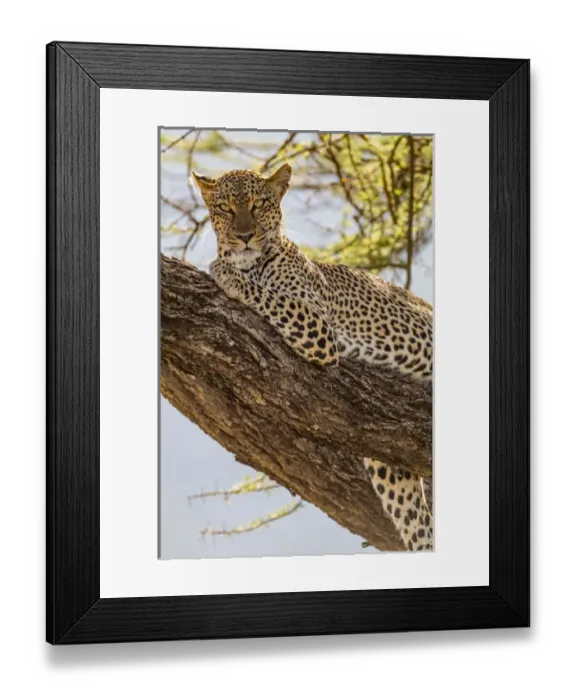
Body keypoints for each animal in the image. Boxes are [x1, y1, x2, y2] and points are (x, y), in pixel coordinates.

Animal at [191, 163, 433, 553]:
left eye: (258, 204)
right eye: (226, 208)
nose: (244, 237)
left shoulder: (319, 327)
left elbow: (267, 295)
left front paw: (224, 272)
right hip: (391, 467)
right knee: (417, 524)